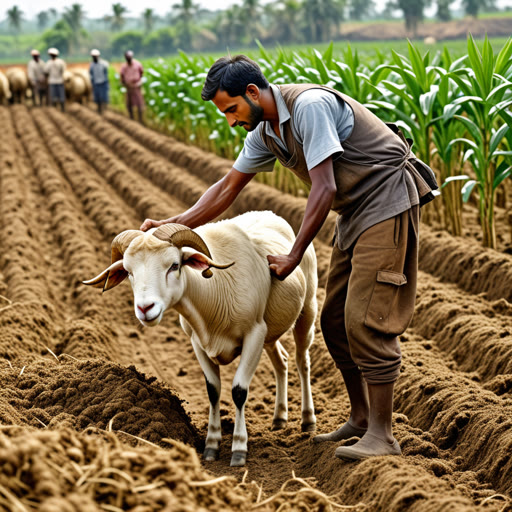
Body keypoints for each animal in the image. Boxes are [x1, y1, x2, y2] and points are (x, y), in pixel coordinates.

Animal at [83, 210, 316, 466]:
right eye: (129, 272)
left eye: (174, 265)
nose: (145, 308)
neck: (215, 290)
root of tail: (272, 214)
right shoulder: (198, 342)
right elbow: (213, 390)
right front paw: (211, 446)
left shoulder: (254, 334)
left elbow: (238, 391)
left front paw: (239, 449)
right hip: (271, 334)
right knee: (281, 361)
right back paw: (279, 418)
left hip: (307, 311)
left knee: (302, 361)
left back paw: (308, 420)